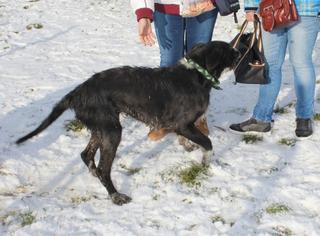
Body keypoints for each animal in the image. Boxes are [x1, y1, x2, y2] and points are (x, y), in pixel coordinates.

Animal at [15, 41, 240, 206]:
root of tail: (78, 92)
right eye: (228, 49)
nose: (239, 52)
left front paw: (189, 147)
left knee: (86, 155)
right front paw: (206, 162)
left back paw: (95, 175)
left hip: (102, 128)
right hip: (112, 131)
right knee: (104, 168)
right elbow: (208, 143)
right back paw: (116, 196)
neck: (197, 74)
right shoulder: (182, 124)